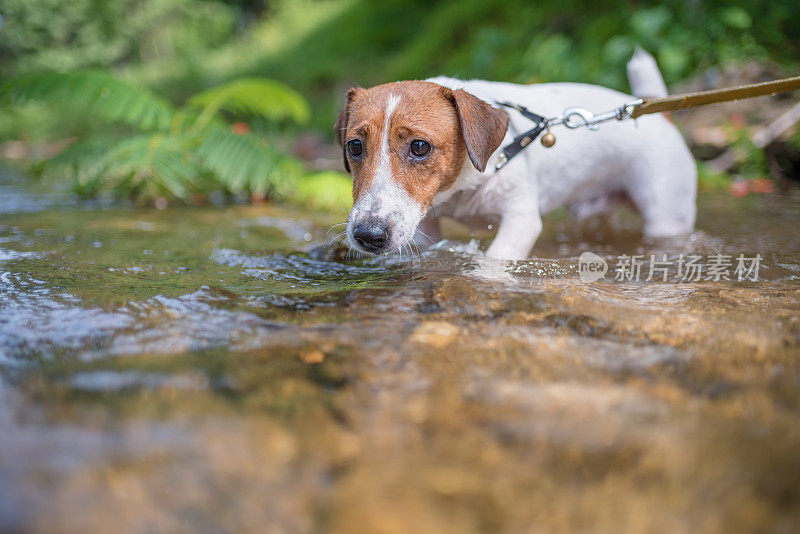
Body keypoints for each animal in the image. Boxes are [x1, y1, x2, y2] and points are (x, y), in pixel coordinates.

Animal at [334, 50, 696, 262]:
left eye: (420, 147)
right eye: (355, 146)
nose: (367, 236)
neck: (461, 187)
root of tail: (656, 112)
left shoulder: (521, 219)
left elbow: (496, 259)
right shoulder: (425, 228)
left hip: (666, 216)